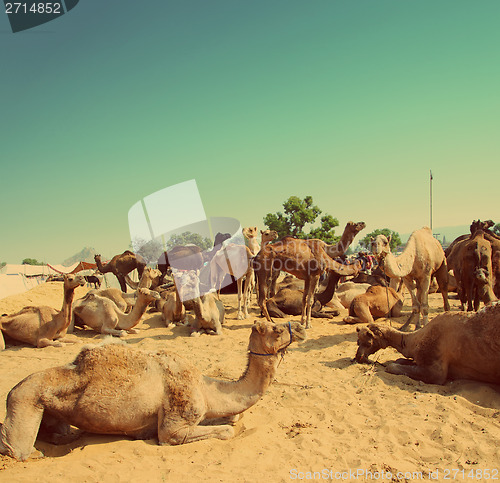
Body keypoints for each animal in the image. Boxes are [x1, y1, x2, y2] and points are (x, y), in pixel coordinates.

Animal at [0, 322, 306, 462]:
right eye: (276, 329)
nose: (300, 328)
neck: (205, 387)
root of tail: (12, 390)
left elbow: (231, 419)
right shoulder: (175, 424)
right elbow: (225, 430)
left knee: (62, 431)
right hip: (24, 400)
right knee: (17, 449)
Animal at [354, 302, 500, 386]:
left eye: (368, 342)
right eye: (357, 341)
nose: (358, 357)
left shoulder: (436, 370)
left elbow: (392, 366)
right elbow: (399, 359)